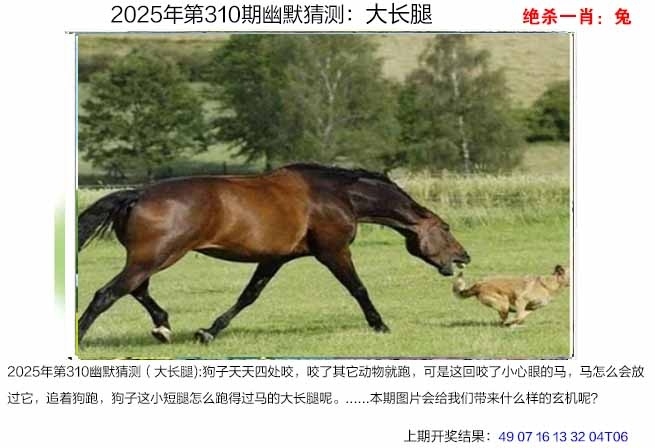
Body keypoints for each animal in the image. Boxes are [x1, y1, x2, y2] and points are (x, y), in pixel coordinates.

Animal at [77, 163, 470, 344]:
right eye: (446, 227)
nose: (464, 257)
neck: (337, 195)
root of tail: (137, 195)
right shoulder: (333, 251)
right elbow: (358, 288)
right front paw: (380, 325)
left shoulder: (274, 258)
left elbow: (248, 296)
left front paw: (209, 332)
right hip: (156, 257)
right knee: (107, 294)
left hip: (151, 259)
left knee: (135, 290)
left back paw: (162, 327)